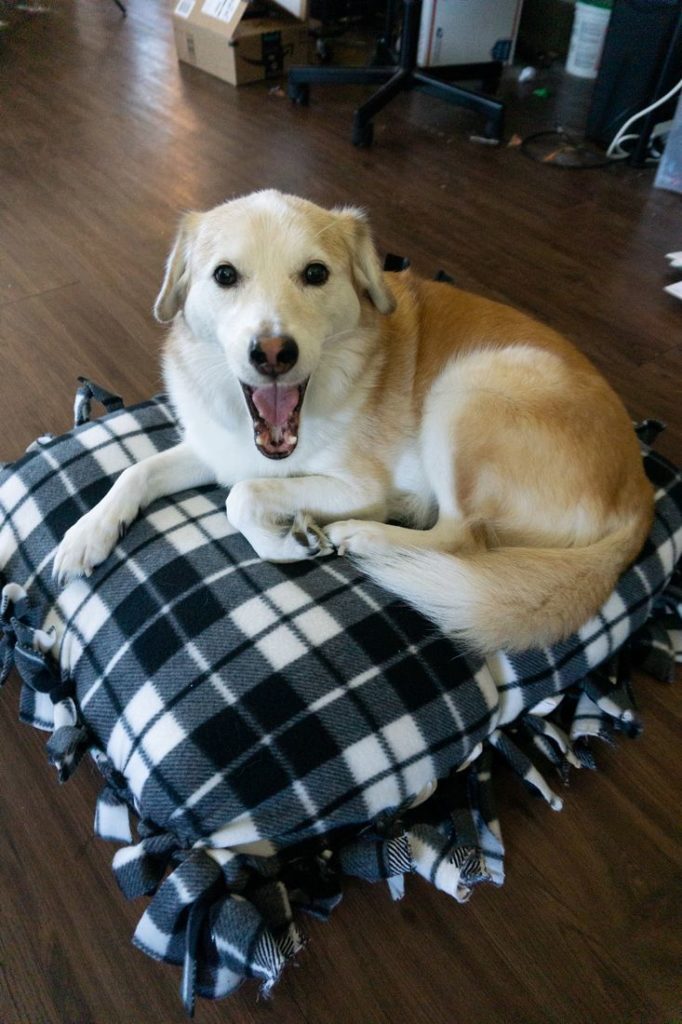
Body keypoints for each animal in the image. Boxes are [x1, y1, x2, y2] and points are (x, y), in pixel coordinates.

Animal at [51, 190, 647, 655]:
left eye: (316, 274)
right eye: (224, 275)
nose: (274, 353)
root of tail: (642, 496)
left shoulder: (356, 487)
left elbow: (241, 495)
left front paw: (289, 540)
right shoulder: (214, 449)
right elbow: (138, 472)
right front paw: (87, 534)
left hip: (465, 391)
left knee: (460, 537)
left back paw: (364, 535)